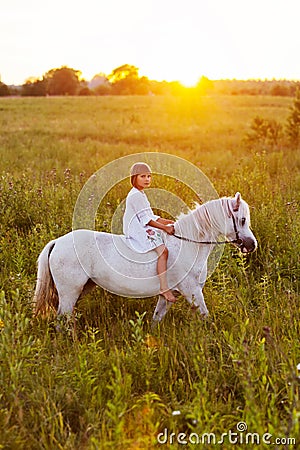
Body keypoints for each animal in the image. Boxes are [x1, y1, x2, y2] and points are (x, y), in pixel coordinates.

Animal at [33, 192, 258, 324]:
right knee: (62, 319)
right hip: (69, 291)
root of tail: (57, 242)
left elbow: (156, 319)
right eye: (242, 219)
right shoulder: (192, 291)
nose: (252, 245)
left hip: (77, 289)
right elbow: (206, 317)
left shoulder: (169, 295)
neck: (188, 244)